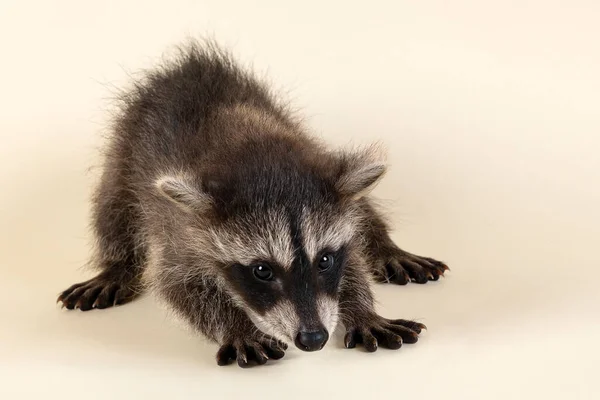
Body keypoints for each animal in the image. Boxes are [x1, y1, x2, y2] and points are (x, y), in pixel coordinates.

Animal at [57, 39, 450, 368]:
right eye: (262, 270)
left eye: (324, 260)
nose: (313, 338)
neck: (255, 151)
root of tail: (190, 65)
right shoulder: (181, 227)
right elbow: (178, 284)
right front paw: (237, 327)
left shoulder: (313, 164)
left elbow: (352, 256)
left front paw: (362, 310)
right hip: (127, 147)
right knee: (112, 205)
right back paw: (116, 264)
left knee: (363, 206)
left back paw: (386, 246)